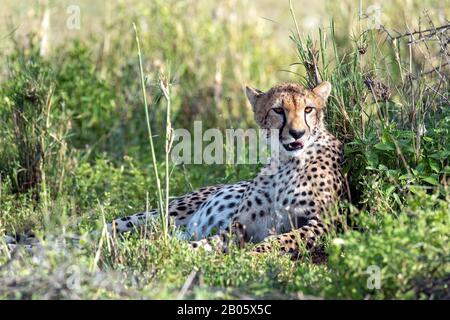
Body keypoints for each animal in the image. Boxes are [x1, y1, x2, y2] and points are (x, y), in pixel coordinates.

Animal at [3, 82, 344, 255]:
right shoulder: (238, 227)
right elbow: (211, 242)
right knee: (97, 231)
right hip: (158, 213)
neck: (286, 162)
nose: (297, 134)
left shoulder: (326, 223)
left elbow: (281, 240)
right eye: (278, 110)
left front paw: (250, 255)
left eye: (308, 109)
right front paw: (186, 251)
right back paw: (25, 243)